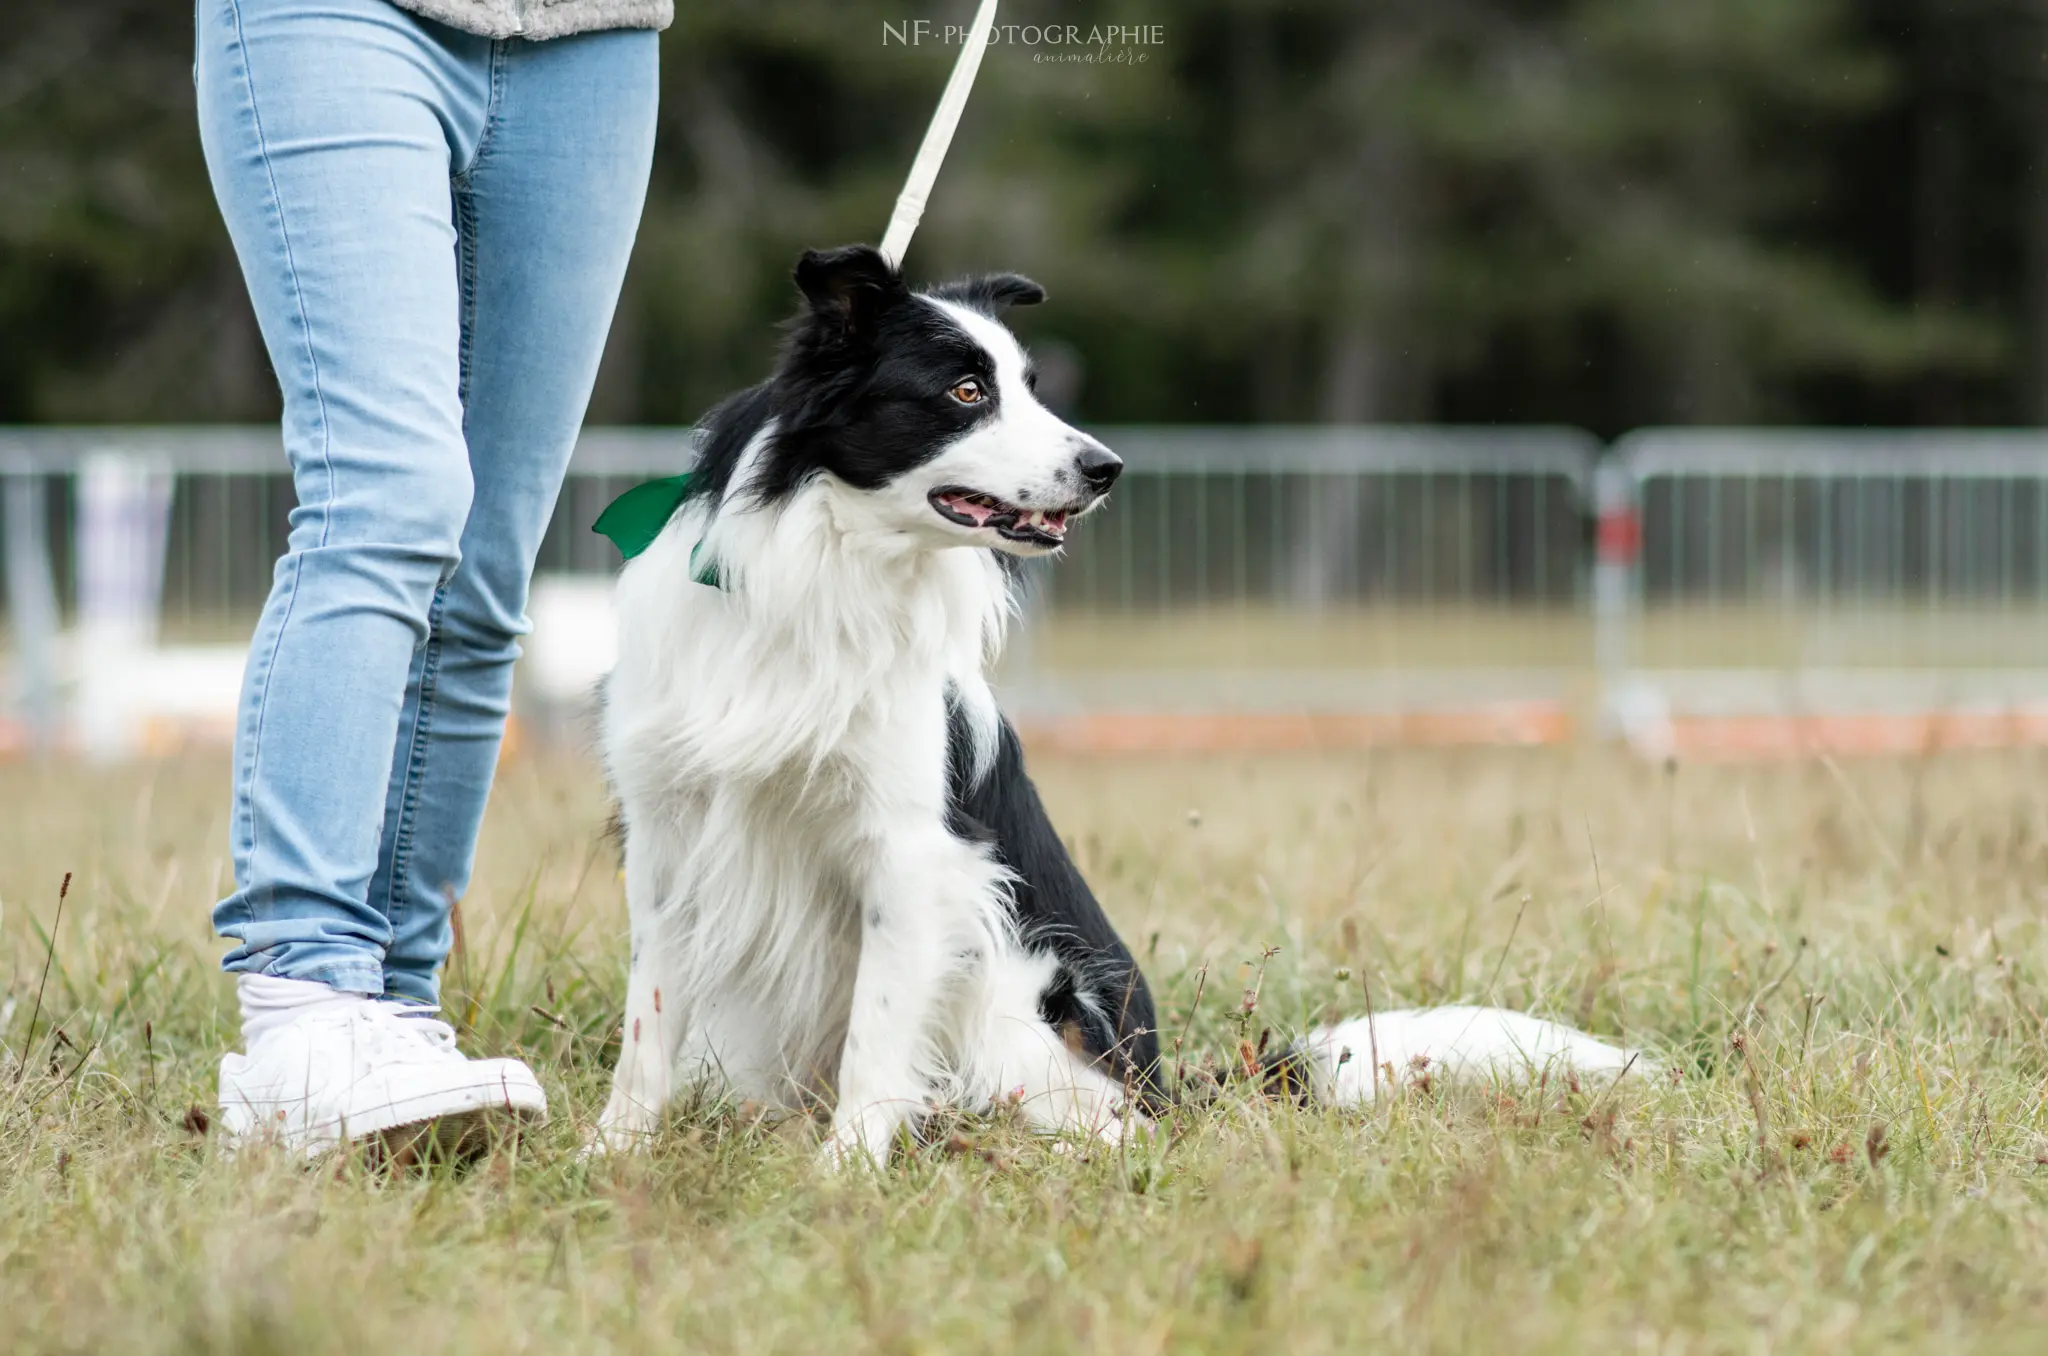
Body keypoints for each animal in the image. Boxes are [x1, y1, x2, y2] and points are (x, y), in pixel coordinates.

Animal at [598, 246, 1646, 1171]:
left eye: (1031, 385)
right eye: (966, 392)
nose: (1107, 468)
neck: (828, 566)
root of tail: (1161, 1080)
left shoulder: (913, 855)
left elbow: (877, 1044)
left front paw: (843, 1175)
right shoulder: (670, 836)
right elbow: (648, 1022)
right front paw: (613, 1155)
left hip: (1021, 990)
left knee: (1111, 1125)